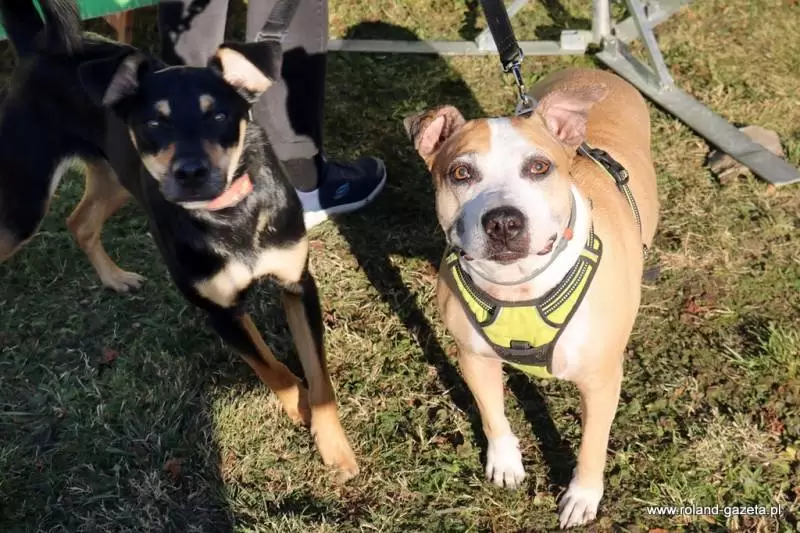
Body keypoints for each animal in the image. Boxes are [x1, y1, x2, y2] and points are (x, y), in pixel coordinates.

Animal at [0, 0, 359, 480]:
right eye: (154, 122)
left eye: (219, 115)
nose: (190, 172)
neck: (230, 216)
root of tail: (39, 46)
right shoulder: (220, 310)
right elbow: (273, 369)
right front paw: (297, 403)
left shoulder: (297, 284)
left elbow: (319, 378)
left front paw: (335, 448)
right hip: (24, 205)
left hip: (115, 177)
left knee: (80, 222)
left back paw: (115, 278)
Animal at [404, 68, 659, 527]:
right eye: (461, 173)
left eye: (539, 167)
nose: (504, 221)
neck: (518, 286)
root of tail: (593, 70)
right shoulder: (474, 358)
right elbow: (492, 415)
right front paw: (505, 464)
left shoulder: (601, 381)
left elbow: (593, 444)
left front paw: (582, 496)